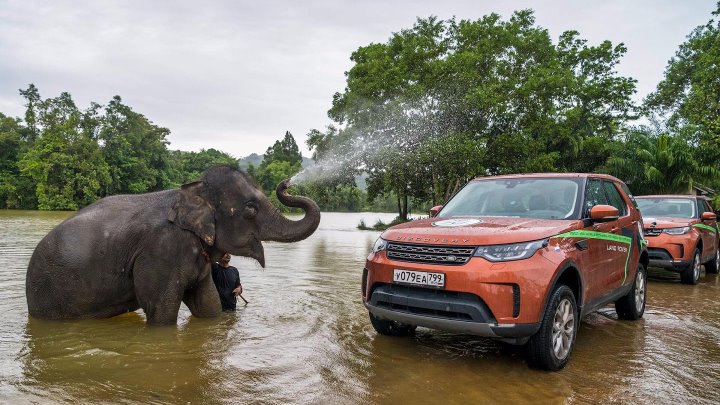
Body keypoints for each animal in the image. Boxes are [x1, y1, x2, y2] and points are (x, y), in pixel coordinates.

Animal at [25, 166, 320, 324]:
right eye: (250, 209)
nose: (286, 183)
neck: (191, 192)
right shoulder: (160, 251)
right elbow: (161, 311)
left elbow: (208, 304)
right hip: (49, 294)